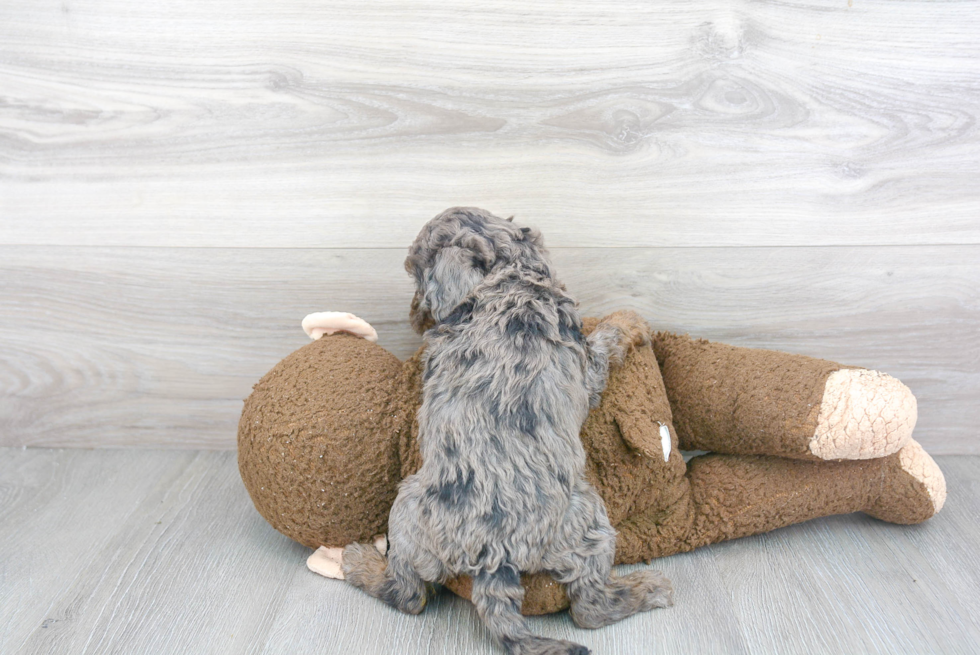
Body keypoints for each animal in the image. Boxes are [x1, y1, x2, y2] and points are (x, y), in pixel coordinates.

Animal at [344, 208, 672, 652]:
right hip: (587, 520)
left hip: (409, 509)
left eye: (416, 276)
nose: (414, 316)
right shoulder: (586, 366)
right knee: (588, 608)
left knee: (411, 594)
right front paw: (630, 319)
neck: (508, 278)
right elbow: (607, 339)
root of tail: (492, 557)